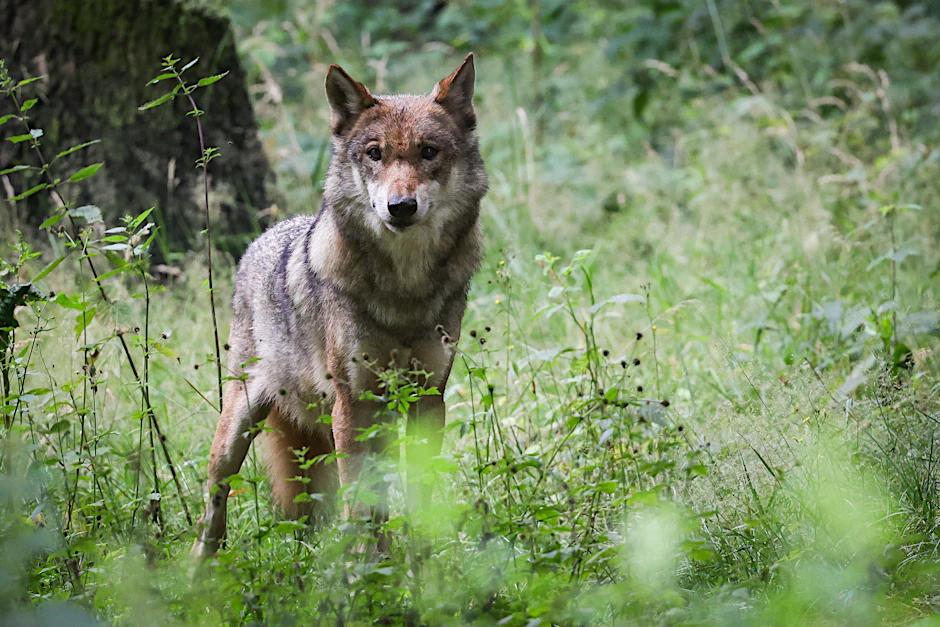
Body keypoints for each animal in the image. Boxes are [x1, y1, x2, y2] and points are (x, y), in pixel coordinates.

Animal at [191, 54, 487, 559]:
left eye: (428, 152)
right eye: (374, 153)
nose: (400, 206)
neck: (405, 290)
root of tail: (262, 239)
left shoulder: (428, 400)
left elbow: (418, 496)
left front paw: (422, 566)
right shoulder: (352, 404)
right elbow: (360, 503)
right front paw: (365, 570)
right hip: (238, 429)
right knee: (214, 505)